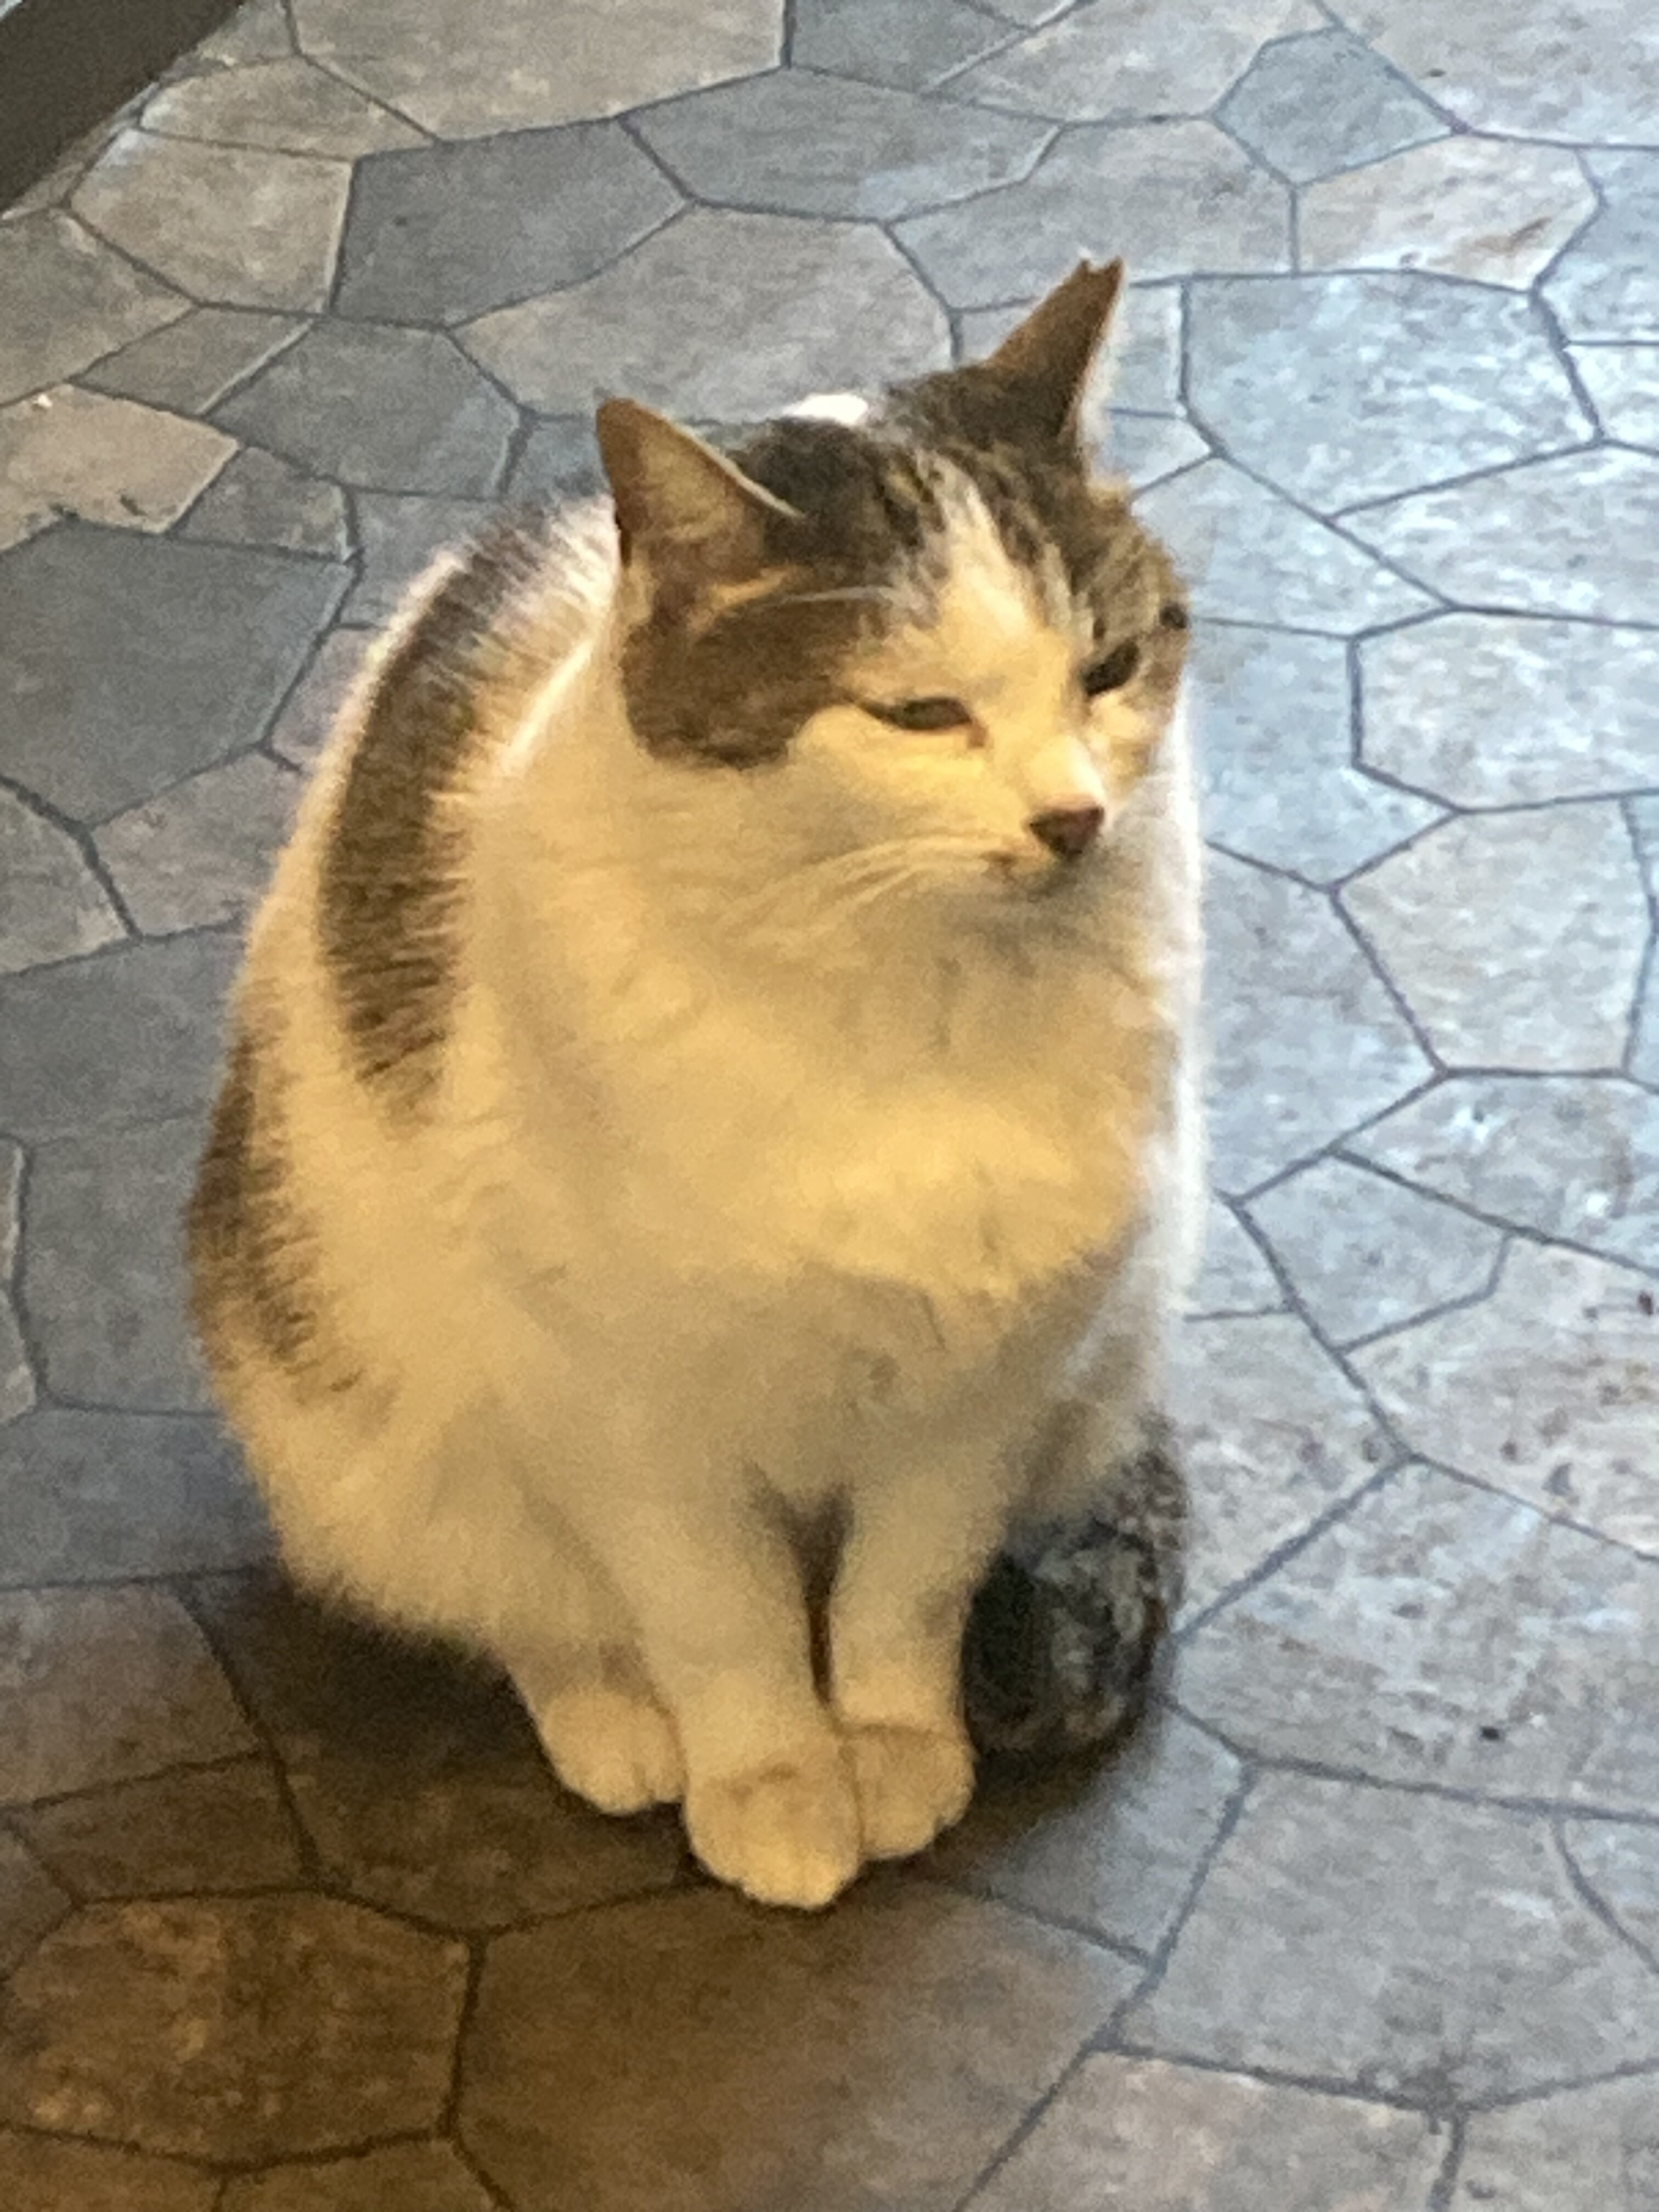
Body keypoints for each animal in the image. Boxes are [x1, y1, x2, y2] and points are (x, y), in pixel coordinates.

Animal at [189, 259, 1203, 1910]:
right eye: (921, 715)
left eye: (1109, 669)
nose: (1075, 818)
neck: (906, 1008)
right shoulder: (619, 1409)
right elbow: (718, 1620)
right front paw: (774, 1781)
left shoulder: (985, 1387)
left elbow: (904, 1597)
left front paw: (890, 1746)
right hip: (359, 1412)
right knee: (518, 1597)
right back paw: (613, 1716)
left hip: (1109, 1356)